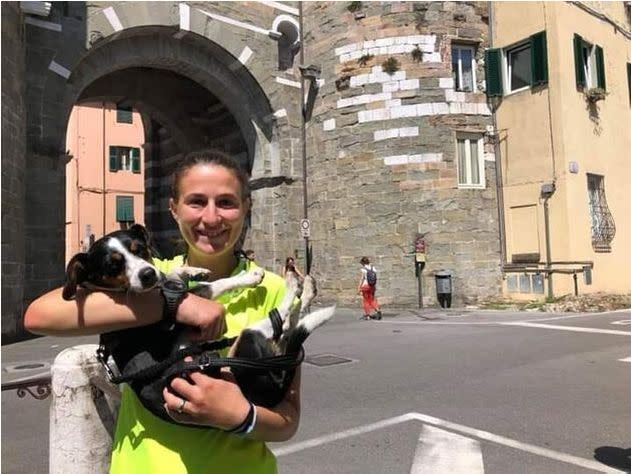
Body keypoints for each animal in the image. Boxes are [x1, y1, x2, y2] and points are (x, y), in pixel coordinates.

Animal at [61, 226, 334, 422]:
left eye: (140, 250)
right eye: (113, 265)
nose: (147, 274)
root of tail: (276, 383)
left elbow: (184, 278)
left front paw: (191, 270)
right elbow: (218, 284)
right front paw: (250, 276)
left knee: (288, 328)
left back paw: (306, 287)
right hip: (246, 341)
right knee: (281, 321)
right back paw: (294, 284)